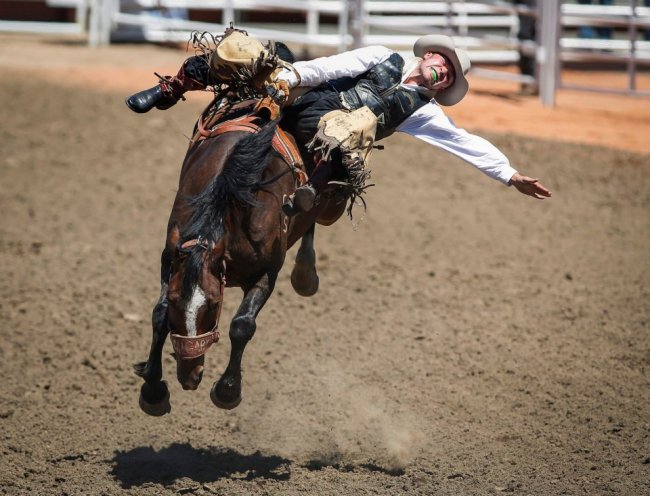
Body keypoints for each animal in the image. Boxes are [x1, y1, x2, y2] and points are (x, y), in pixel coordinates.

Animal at [134, 101, 346, 414]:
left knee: (311, 214)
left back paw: (305, 275)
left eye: (213, 304)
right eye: (175, 301)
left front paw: (227, 391)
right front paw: (153, 390)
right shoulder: (170, 258)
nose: (190, 376)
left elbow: (242, 325)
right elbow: (159, 315)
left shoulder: (267, 271)